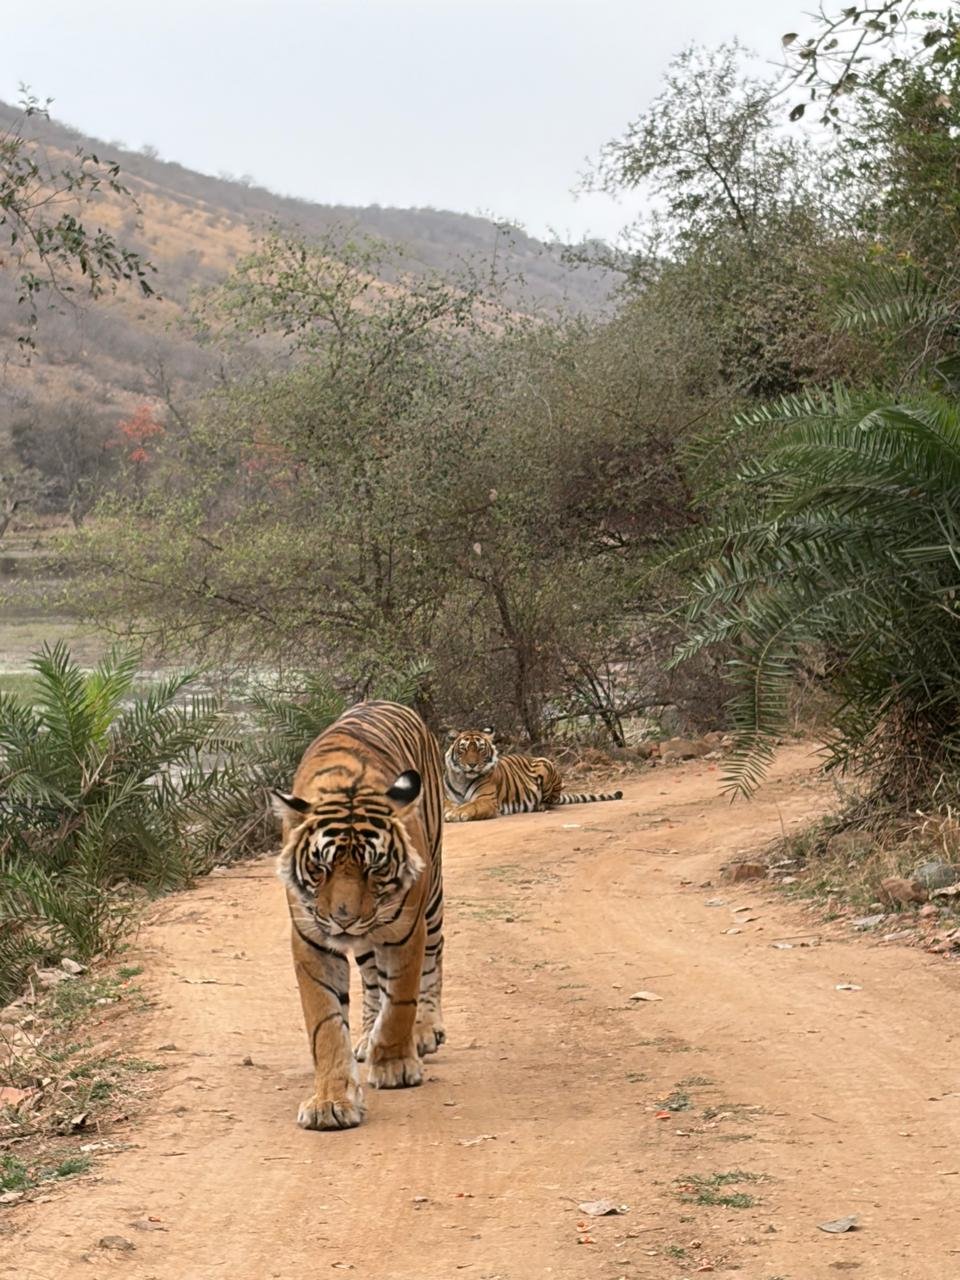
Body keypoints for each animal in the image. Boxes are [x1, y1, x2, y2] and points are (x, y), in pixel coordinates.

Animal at [272, 700, 444, 1131]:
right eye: (320, 868)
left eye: (375, 868)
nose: (345, 920)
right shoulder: (310, 938)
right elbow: (326, 1024)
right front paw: (330, 1102)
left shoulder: (405, 930)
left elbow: (400, 1001)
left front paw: (396, 1064)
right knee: (369, 979)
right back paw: (367, 1036)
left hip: (432, 899)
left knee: (433, 961)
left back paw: (425, 1030)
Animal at [443, 726, 623, 822]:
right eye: (463, 749)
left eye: (480, 749)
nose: (472, 764)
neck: (462, 778)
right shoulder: (445, 798)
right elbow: (449, 805)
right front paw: (451, 811)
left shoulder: (486, 800)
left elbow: (470, 805)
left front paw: (456, 813)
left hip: (546, 765)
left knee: (551, 801)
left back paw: (541, 805)